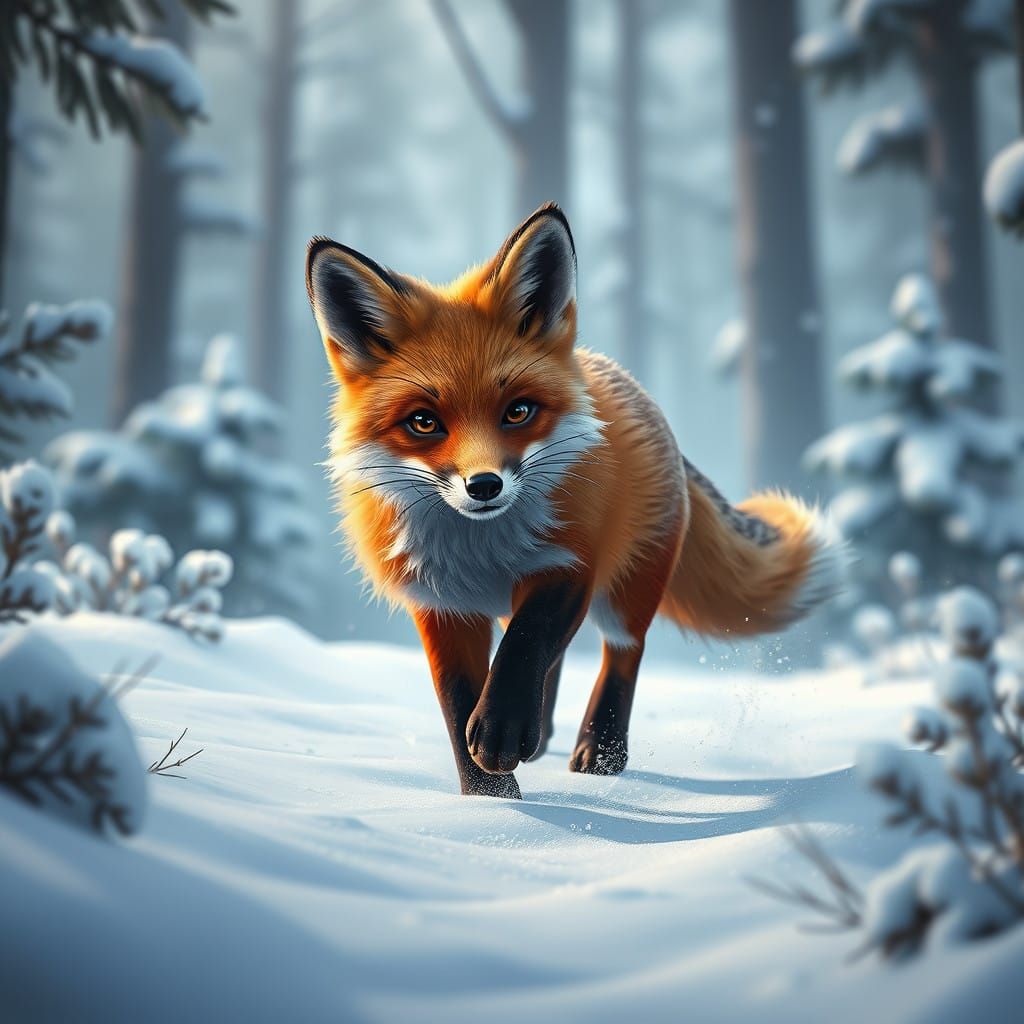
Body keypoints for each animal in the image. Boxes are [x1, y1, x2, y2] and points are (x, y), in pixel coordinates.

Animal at [305, 203, 844, 799]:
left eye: (517, 411)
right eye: (424, 423)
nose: (484, 486)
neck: (480, 551)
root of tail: (622, 379)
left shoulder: (571, 563)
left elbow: (526, 643)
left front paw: (501, 733)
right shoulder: (440, 601)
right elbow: (458, 697)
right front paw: (489, 798)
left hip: (631, 585)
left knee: (622, 650)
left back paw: (600, 751)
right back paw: (537, 735)